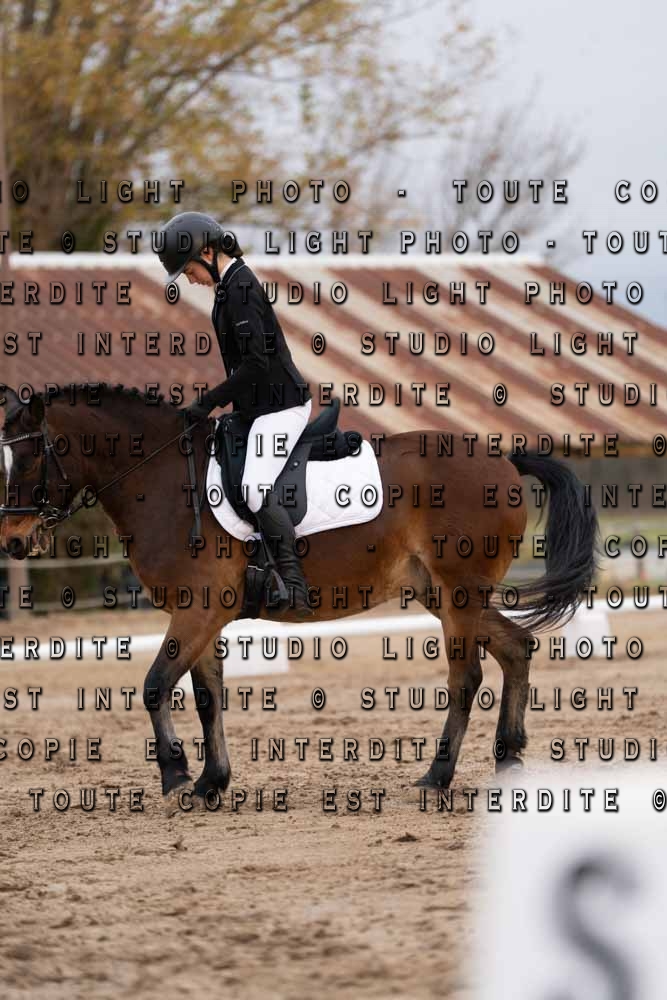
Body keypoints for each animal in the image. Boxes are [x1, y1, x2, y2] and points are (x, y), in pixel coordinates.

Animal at [0, 383, 600, 800]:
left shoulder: (196, 612)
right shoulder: (203, 617)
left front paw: (175, 775)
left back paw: (437, 775)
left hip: (459, 593)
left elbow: (153, 686)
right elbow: (206, 696)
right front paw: (212, 781)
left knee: (466, 677)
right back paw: (508, 759)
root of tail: (503, 458)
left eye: (28, 458)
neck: (163, 481)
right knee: (517, 647)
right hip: (446, 594)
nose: (13, 540)